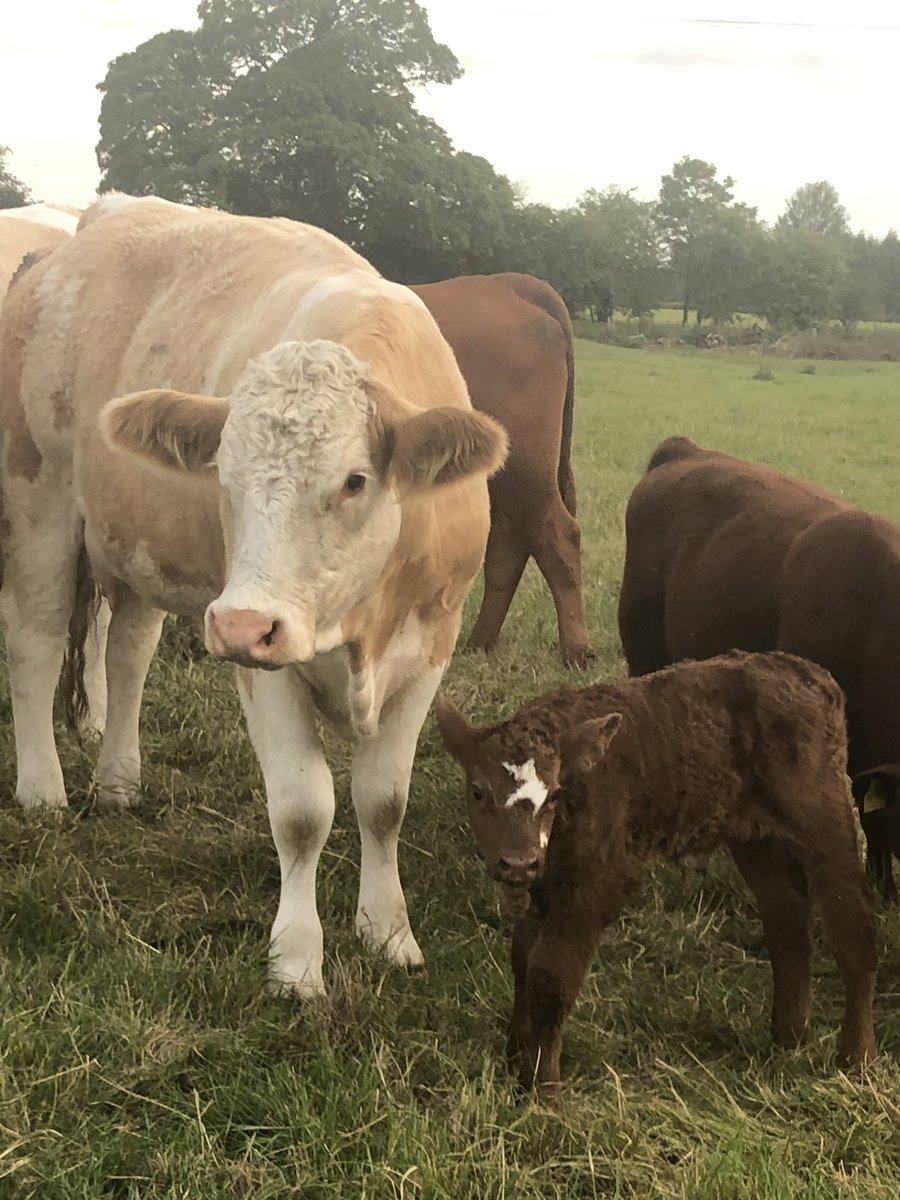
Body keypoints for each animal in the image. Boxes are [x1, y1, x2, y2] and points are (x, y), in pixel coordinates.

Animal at [0, 193, 507, 997]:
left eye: (354, 480)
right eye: (224, 476)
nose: (241, 624)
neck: (356, 633)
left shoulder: (433, 643)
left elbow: (384, 801)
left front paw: (388, 932)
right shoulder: (262, 665)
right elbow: (303, 810)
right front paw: (297, 961)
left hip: (140, 544)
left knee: (129, 654)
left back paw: (119, 783)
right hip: (38, 497)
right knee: (38, 642)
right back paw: (43, 790)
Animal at [410, 274, 591, 666]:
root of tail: (505, 282)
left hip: (526, 464)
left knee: (555, 535)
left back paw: (576, 650)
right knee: (508, 544)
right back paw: (479, 642)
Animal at [436, 651, 878, 1099]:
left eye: (555, 794)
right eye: (478, 792)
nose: (518, 861)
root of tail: (806, 673)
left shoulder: (597, 884)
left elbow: (551, 974)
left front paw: (541, 1086)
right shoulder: (540, 891)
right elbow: (523, 964)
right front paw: (513, 1061)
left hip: (821, 814)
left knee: (852, 921)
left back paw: (855, 1057)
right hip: (754, 836)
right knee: (785, 913)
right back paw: (788, 1036)